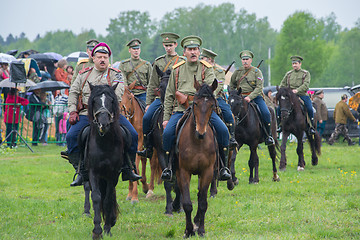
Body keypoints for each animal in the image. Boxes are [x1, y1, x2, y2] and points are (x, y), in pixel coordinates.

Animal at [81, 84, 126, 238]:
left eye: (111, 101)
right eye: (94, 101)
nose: (104, 124)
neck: (104, 143)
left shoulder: (113, 174)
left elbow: (107, 199)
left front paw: (107, 228)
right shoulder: (93, 172)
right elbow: (96, 197)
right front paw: (97, 230)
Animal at [176, 78, 218, 237]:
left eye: (212, 105)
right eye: (195, 103)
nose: (201, 132)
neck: (197, 142)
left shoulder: (207, 171)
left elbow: (203, 203)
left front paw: (201, 229)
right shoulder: (183, 172)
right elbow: (187, 203)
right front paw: (188, 230)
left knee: (200, 195)